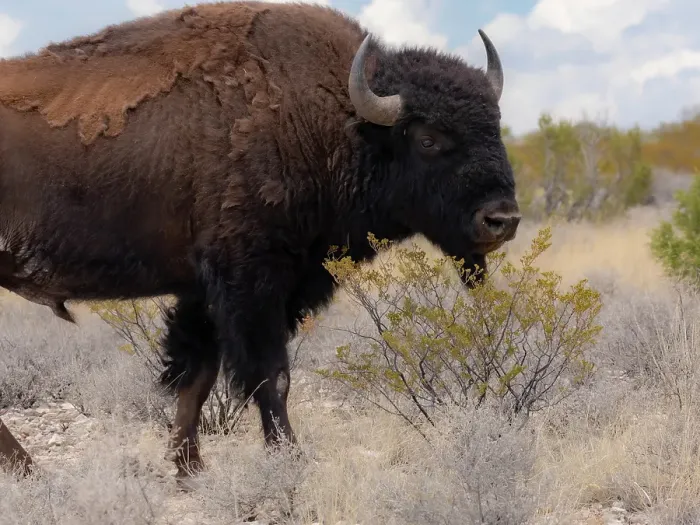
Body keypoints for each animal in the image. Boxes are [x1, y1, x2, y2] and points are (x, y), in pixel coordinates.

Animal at [0, 1, 521, 483]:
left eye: (494, 127)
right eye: (428, 139)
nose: (502, 219)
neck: (330, 121)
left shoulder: (208, 293)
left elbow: (198, 376)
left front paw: (189, 468)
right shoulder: (252, 283)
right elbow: (273, 376)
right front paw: (289, 458)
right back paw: (28, 470)